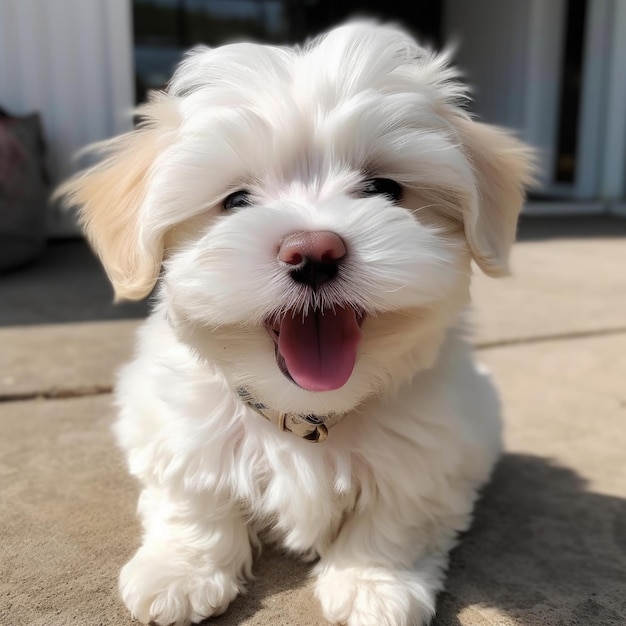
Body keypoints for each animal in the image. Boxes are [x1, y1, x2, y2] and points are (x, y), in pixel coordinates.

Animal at [59, 20, 532, 624]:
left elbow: (396, 517)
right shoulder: (172, 428)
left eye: (385, 189)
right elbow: (191, 497)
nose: (313, 251)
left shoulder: (431, 450)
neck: (305, 411)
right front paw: (180, 573)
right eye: (236, 200)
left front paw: (373, 583)